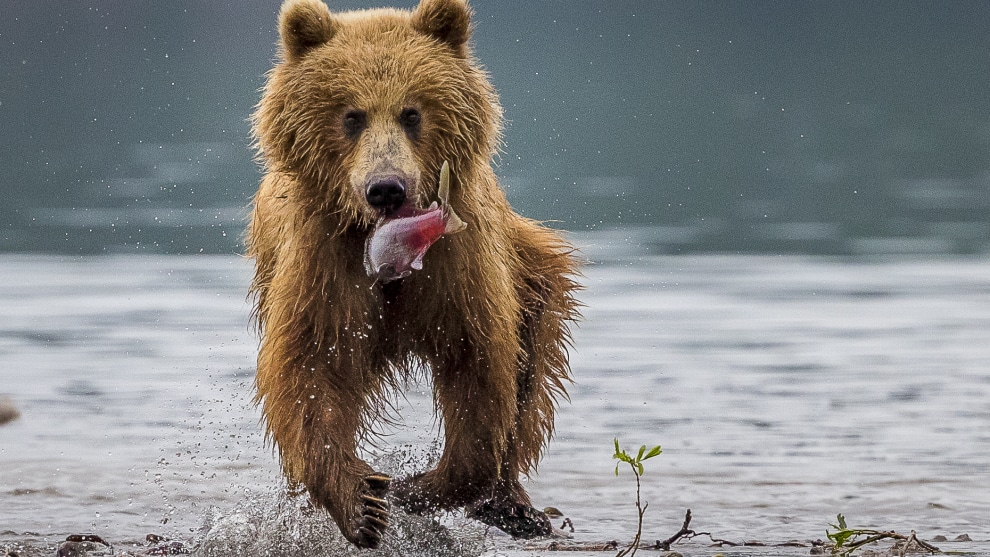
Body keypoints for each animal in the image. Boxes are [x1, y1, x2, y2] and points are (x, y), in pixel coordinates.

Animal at [246, 0, 581, 549]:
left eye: (411, 112)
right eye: (352, 116)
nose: (387, 188)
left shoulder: (458, 267)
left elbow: (479, 366)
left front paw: (413, 488)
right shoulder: (324, 264)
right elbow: (308, 367)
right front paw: (363, 502)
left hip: (527, 267)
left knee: (532, 363)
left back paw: (511, 505)